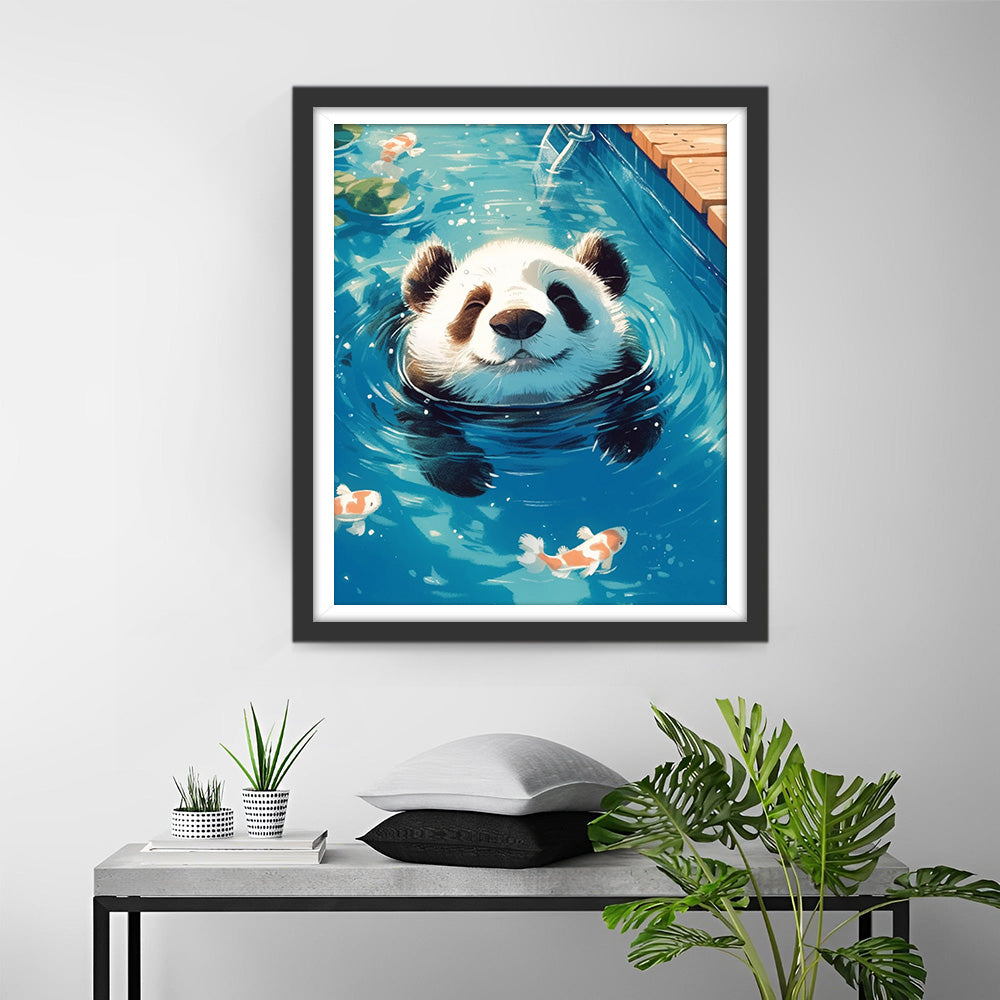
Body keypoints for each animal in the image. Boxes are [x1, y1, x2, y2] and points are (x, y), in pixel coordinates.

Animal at [393, 231, 662, 497]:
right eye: (474, 304)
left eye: (563, 297)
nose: (517, 320)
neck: (525, 404)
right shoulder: (422, 390)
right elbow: (426, 429)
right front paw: (465, 474)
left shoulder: (624, 372)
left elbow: (641, 398)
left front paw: (624, 442)